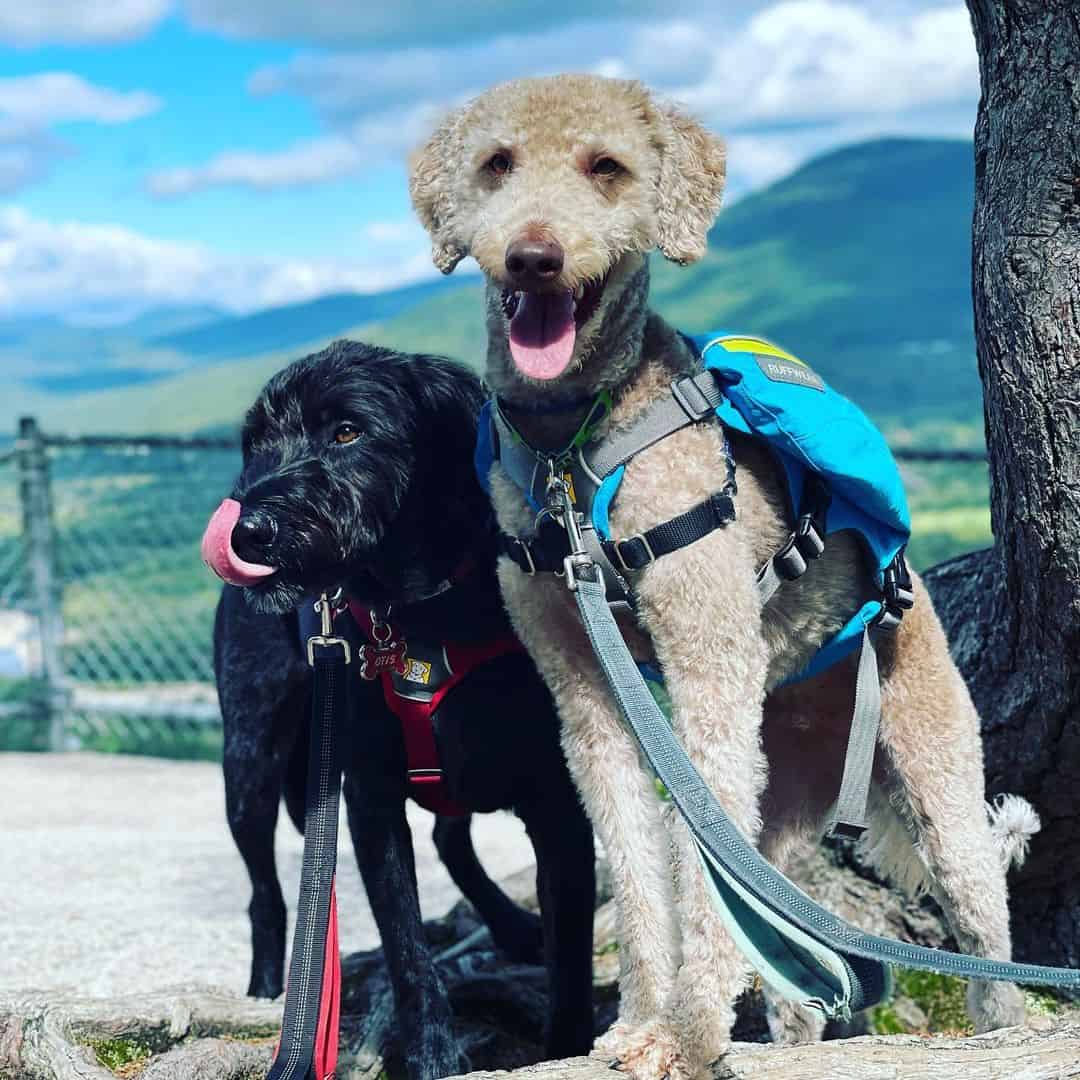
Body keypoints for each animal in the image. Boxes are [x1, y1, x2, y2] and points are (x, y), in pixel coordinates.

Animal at [206, 341, 596, 1075]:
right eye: (257, 442)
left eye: (347, 431)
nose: (246, 532)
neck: (421, 610)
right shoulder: (371, 801)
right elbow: (408, 947)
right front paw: (432, 1055)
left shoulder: (559, 799)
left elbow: (573, 953)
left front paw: (569, 1049)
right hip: (250, 763)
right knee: (263, 889)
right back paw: (270, 984)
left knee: (451, 837)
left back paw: (511, 926)